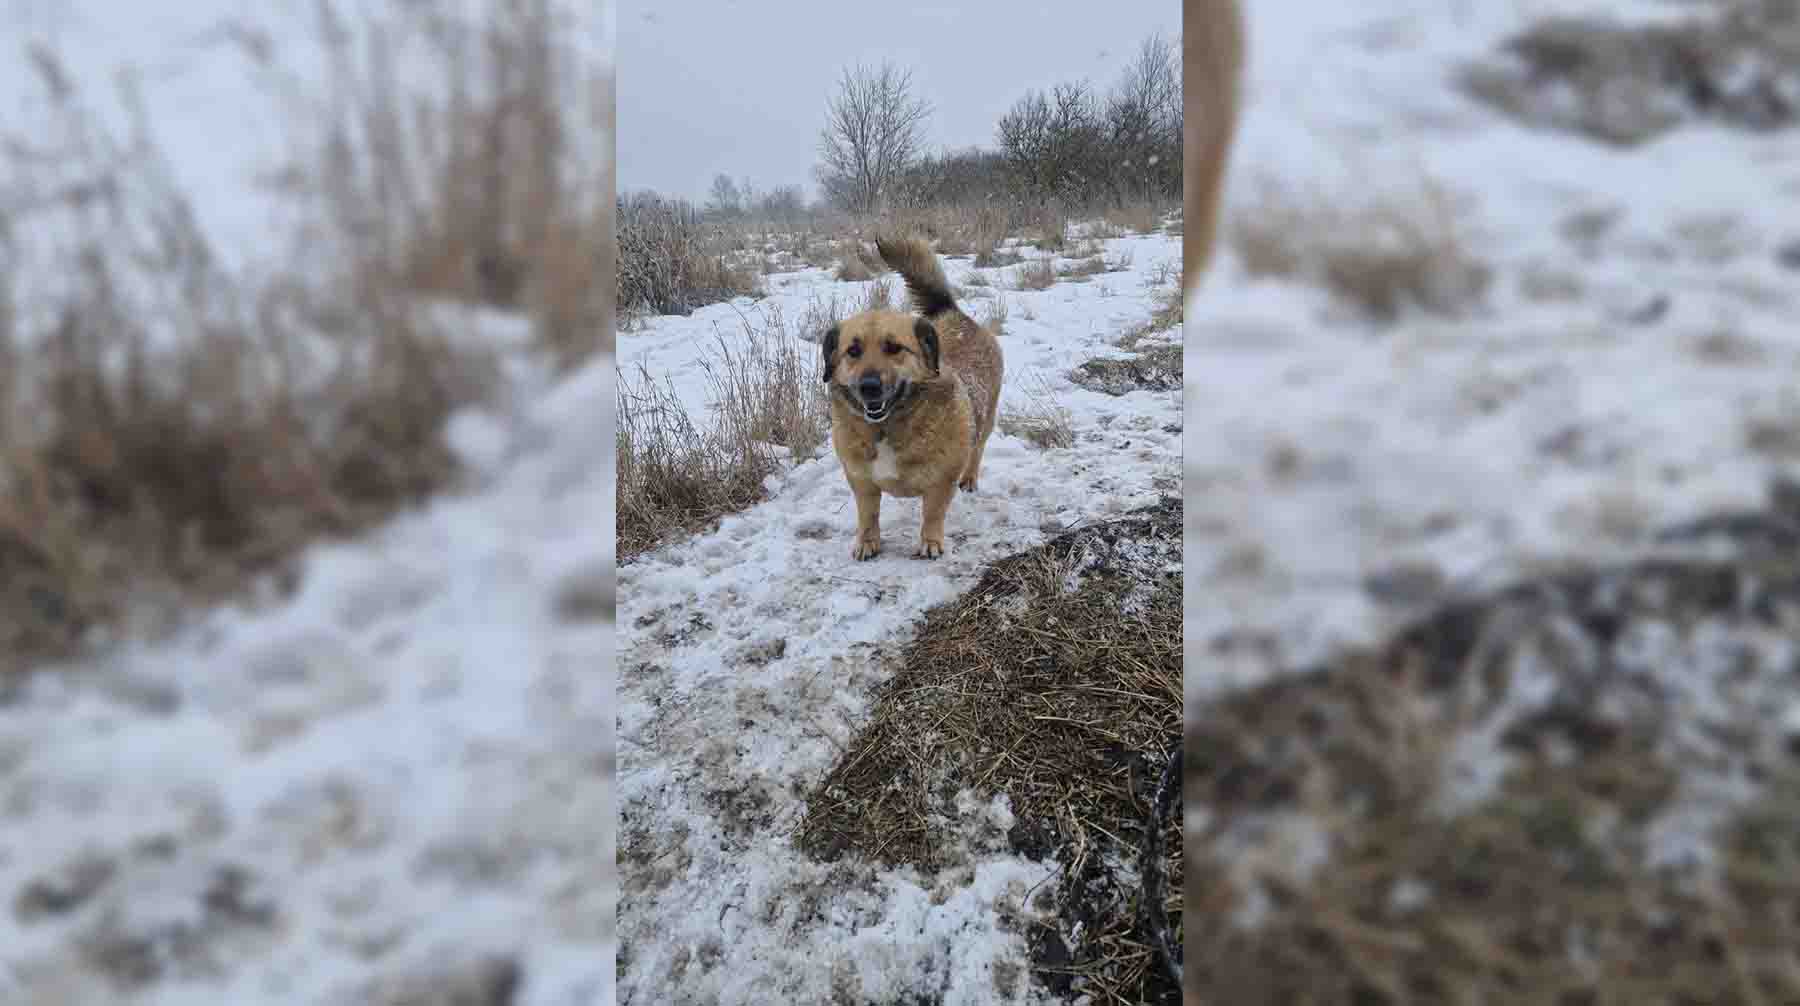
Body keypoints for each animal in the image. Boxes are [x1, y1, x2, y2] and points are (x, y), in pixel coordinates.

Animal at [824, 239, 1008, 561]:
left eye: (894, 347)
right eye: (853, 351)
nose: (869, 387)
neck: (886, 428)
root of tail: (953, 313)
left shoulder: (941, 482)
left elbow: (932, 514)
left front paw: (930, 542)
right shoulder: (861, 482)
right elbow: (868, 515)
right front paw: (867, 542)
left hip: (986, 420)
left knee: (978, 449)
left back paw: (970, 478)